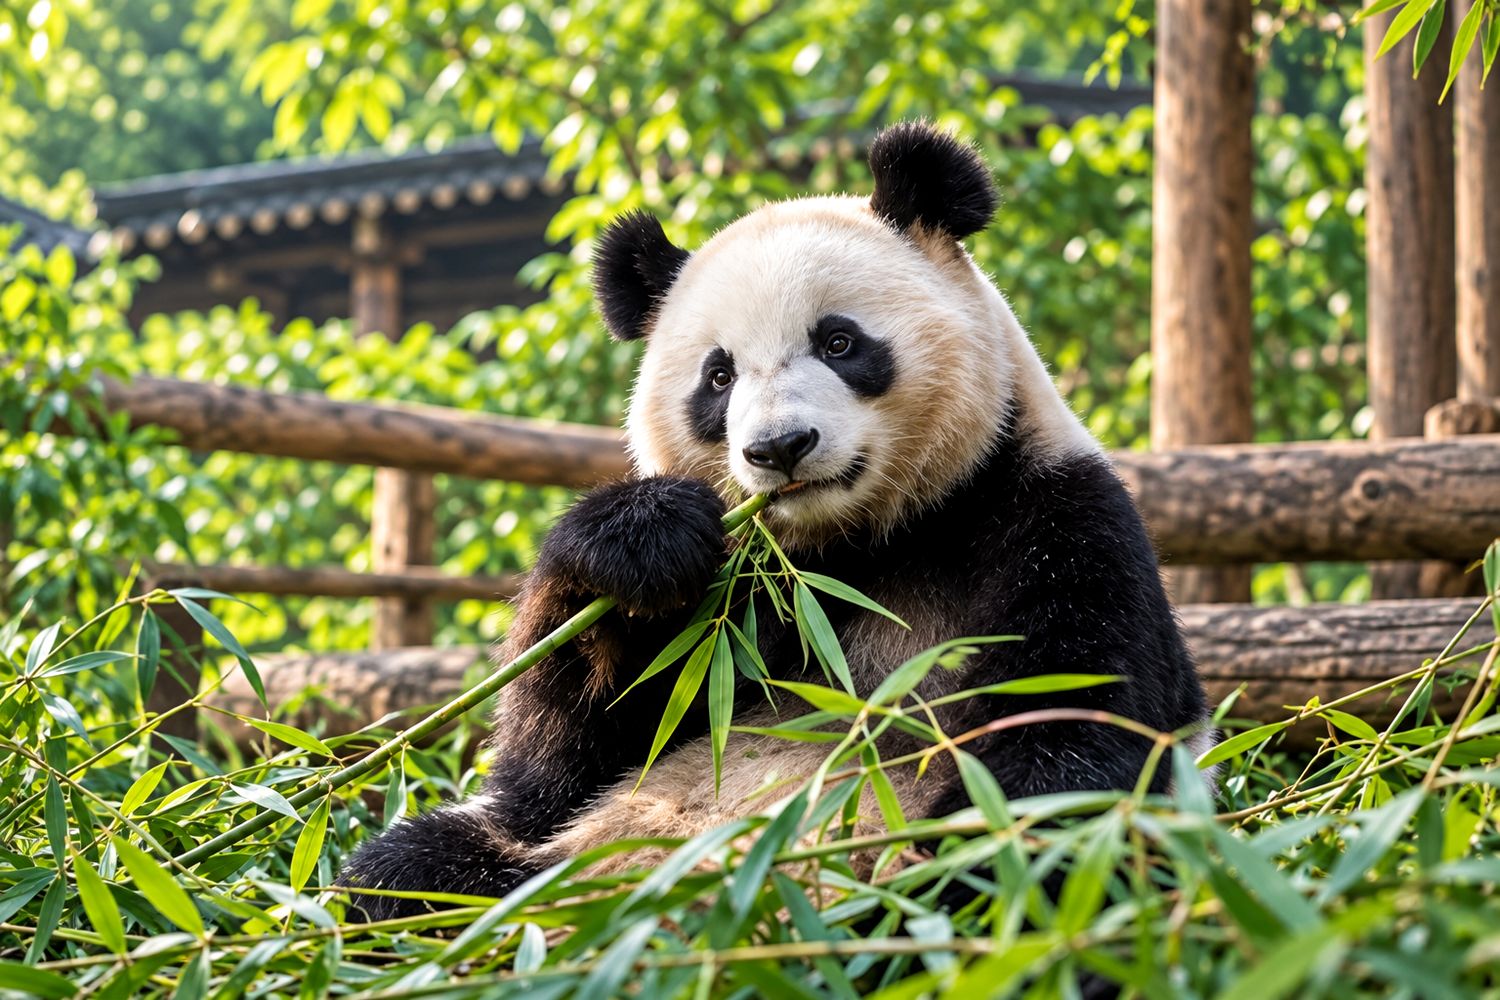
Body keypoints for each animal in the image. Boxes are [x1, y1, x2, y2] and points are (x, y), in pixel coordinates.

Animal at [338, 122, 1214, 921]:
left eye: (840, 341)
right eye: (718, 377)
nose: (779, 448)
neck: (861, 546)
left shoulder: (1054, 520)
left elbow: (1063, 748)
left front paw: (932, 866)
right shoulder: (736, 607)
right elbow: (560, 762)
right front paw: (641, 540)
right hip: (552, 857)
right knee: (409, 869)